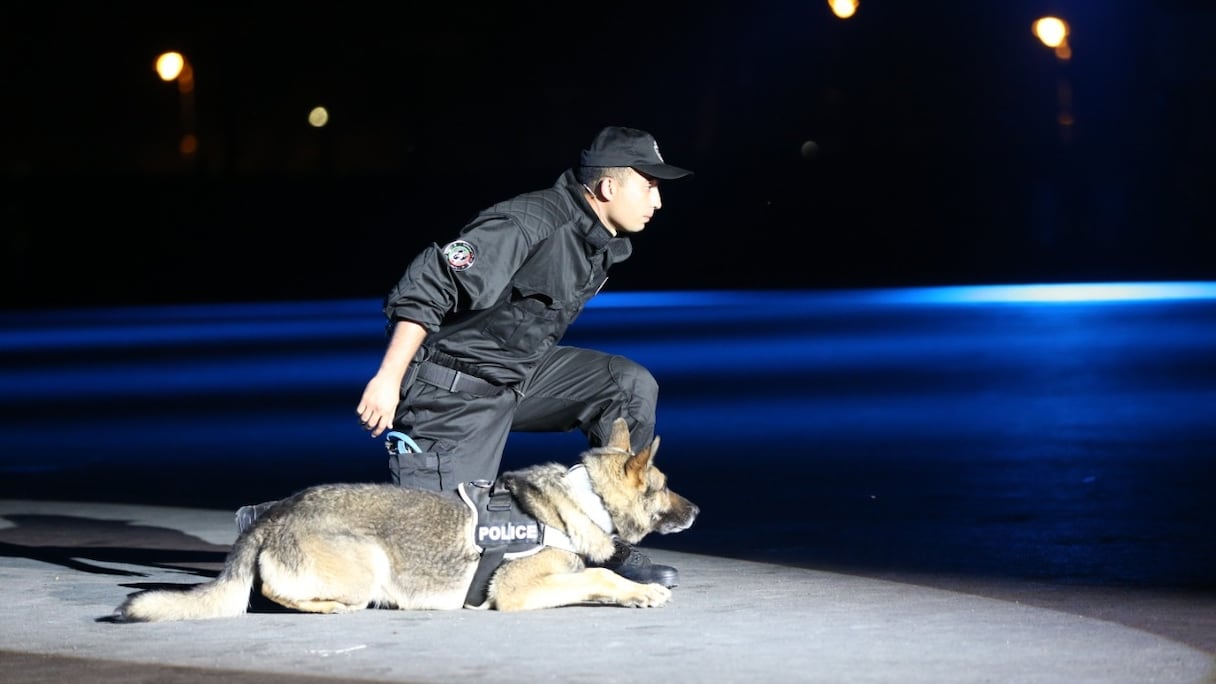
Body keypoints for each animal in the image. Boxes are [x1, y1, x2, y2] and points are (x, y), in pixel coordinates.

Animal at [116, 416, 705, 618]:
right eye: (663, 487)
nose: (698, 509)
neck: (586, 498)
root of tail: (276, 515)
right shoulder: (518, 592)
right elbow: (600, 577)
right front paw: (639, 591)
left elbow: (594, 576)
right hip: (368, 565)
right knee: (272, 591)